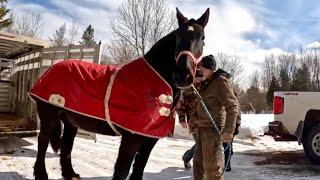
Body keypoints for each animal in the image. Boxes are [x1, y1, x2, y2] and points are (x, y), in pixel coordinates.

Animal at [30, 7, 210, 179]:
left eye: (202, 38)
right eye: (179, 36)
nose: (183, 75)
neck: (154, 80)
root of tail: (50, 70)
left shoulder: (149, 140)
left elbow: (138, 170)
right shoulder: (131, 139)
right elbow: (122, 171)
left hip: (71, 122)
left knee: (66, 147)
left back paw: (70, 174)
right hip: (48, 117)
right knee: (43, 142)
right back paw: (41, 174)